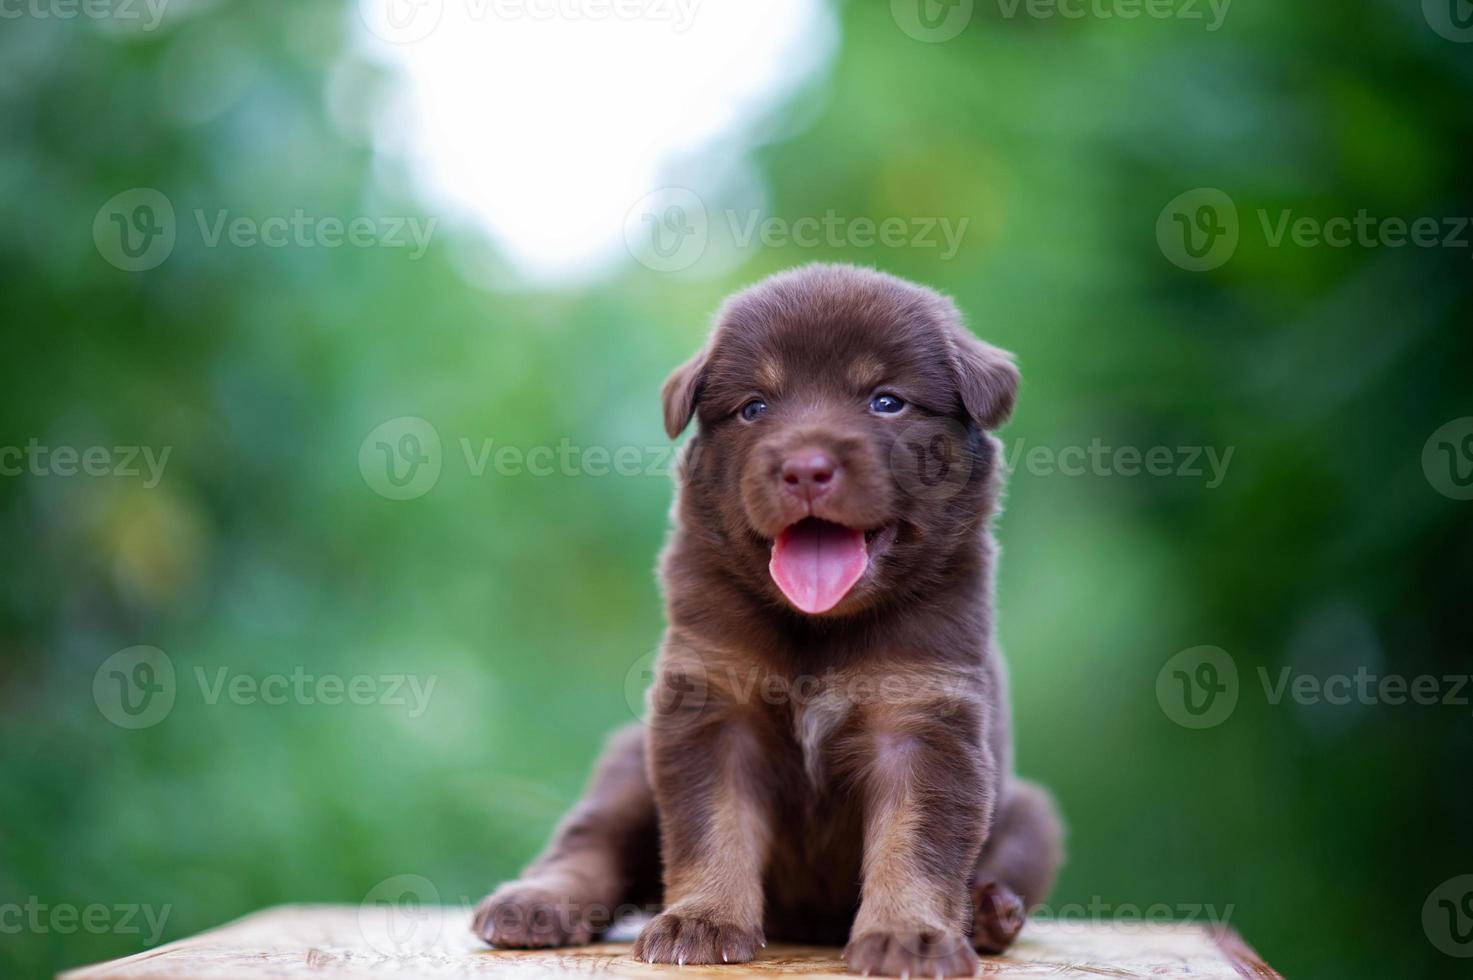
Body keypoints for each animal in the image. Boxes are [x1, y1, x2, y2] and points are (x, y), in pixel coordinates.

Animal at [477, 263, 1066, 972]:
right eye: (754, 407)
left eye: (887, 401)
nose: (805, 468)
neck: (819, 626)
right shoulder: (709, 706)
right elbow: (713, 827)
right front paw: (701, 921)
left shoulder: (925, 718)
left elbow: (916, 842)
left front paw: (911, 936)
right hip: (628, 765)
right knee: (590, 838)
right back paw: (535, 903)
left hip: (1032, 814)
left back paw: (990, 912)